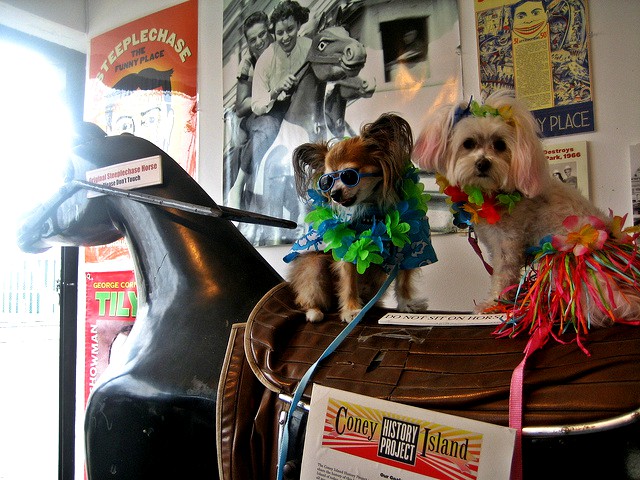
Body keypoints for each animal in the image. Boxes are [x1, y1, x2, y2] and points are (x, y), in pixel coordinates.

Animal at [284, 113, 438, 322]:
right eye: (326, 181)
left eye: (349, 175)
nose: (334, 194)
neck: (373, 212)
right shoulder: (350, 248)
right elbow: (349, 282)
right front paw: (351, 310)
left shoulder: (412, 247)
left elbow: (404, 281)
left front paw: (407, 304)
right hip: (313, 266)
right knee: (307, 297)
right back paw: (314, 311)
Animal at [410, 91, 640, 326]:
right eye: (468, 143)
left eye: (500, 145)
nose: (483, 163)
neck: (493, 194)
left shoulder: (508, 243)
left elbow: (503, 275)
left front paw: (493, 304)